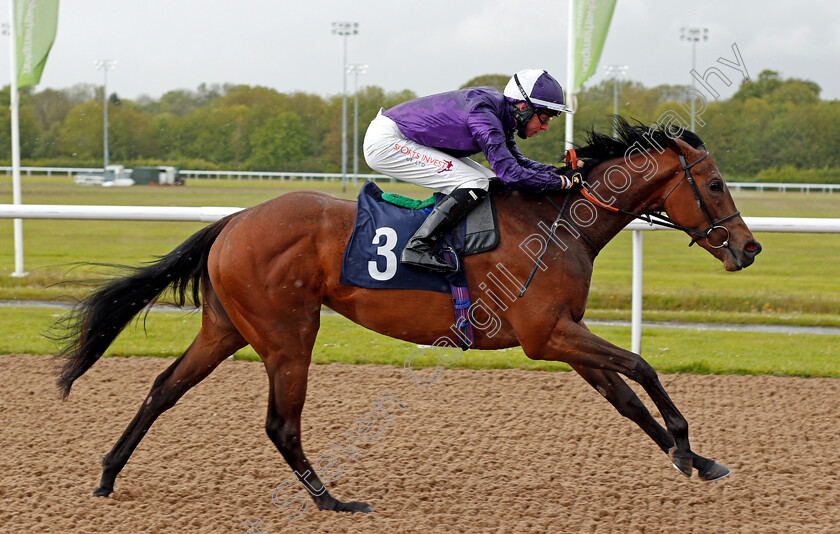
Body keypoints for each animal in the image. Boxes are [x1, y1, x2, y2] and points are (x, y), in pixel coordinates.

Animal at [52, 120, 760, 516]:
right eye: (716, 185)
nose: (749, 249)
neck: (560, 221)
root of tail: (235, 218)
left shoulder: (564, 335)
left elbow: (628, 399)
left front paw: (696, 460)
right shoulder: (548, 336)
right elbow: (642, 365)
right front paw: (687, 446)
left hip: (226, 328)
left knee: (163, 388)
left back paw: (107, 476)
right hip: (287, 334)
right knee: (281, 423)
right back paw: (332, 501)